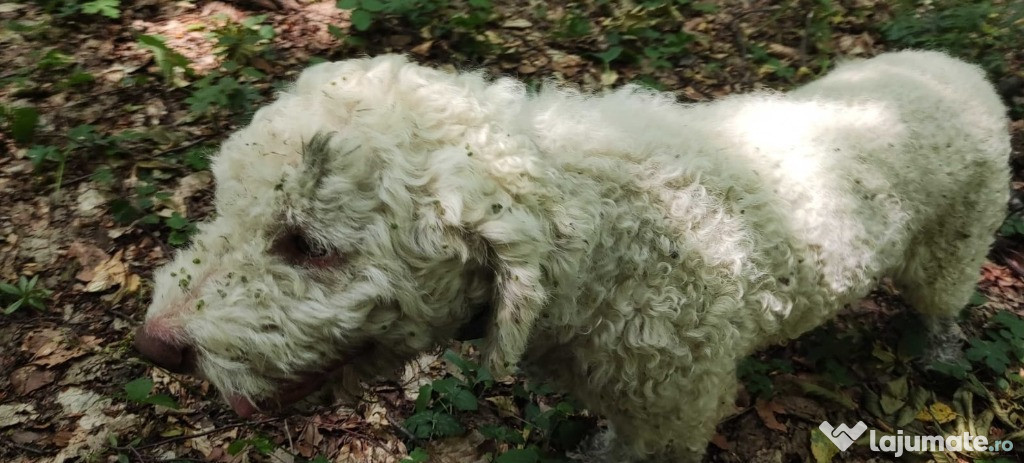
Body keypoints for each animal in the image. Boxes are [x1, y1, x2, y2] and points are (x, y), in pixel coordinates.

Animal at [134, 48, 1007, 460]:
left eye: (306, 244)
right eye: (224, 204)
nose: (154, 346)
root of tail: (961, 70)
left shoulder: (677, 410)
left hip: (956, 245)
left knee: (942, 304)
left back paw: (940, 353)